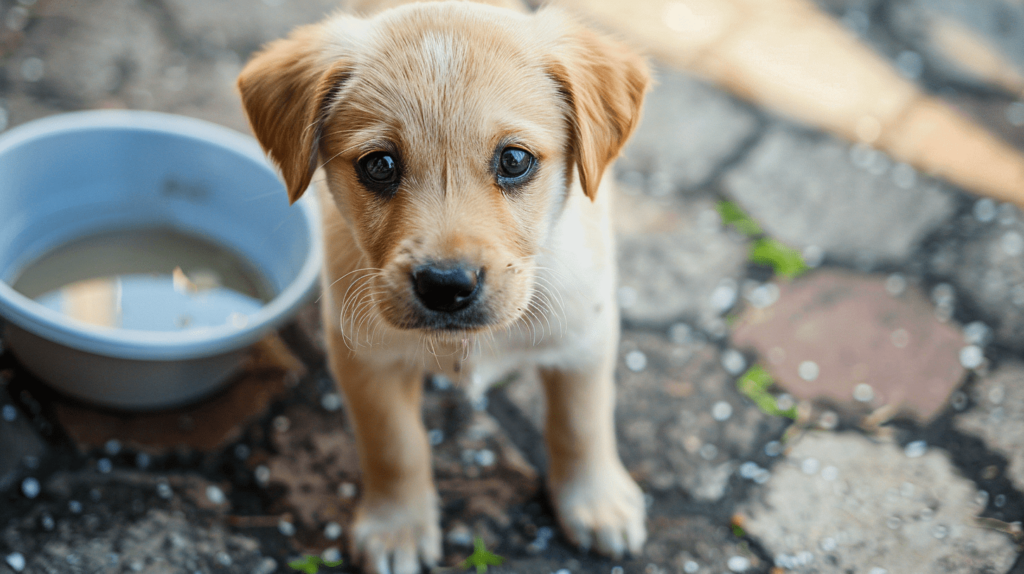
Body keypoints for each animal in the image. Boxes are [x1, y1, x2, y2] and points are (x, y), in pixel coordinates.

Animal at [237, 2, 647, 568]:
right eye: (380, 164)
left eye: (514, 160)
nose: (447, 286)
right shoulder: (366, 357)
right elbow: (394, 445)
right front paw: (398, 528)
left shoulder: (584, 336)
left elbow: (581, 422)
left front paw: (596, 501)